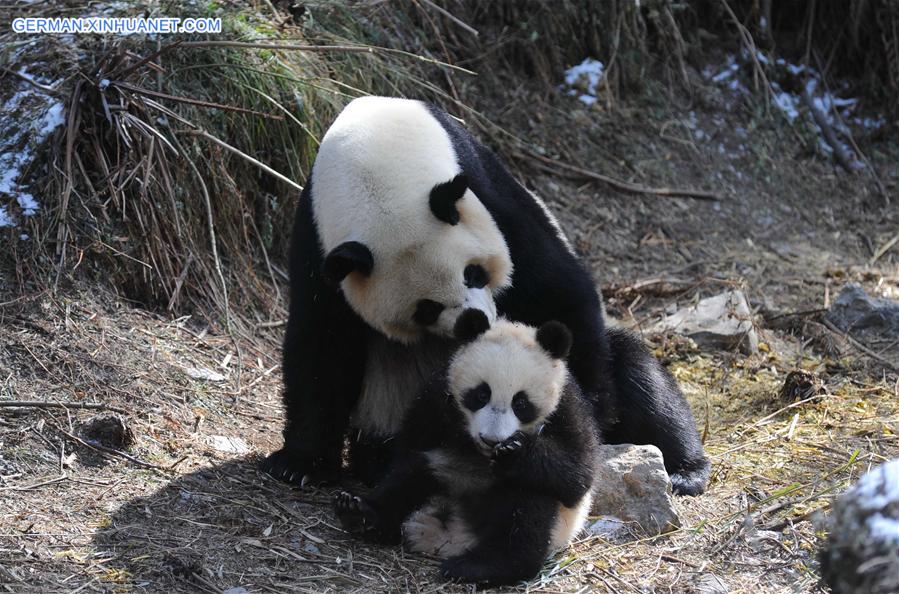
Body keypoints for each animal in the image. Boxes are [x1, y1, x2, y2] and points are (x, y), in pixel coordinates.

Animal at [264, 96, 712, 494]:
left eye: (473, 273)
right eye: (426, 309)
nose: (476, 321)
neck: (373, 151)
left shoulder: (486, 190)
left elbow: (553, 284)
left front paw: (585, 408)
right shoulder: (319, 238)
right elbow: (321, 342)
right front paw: (301, 464)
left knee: (639, 374)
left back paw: (684, 469)